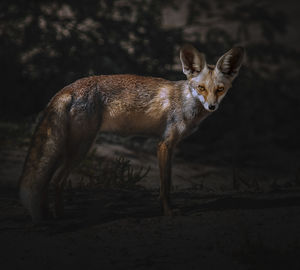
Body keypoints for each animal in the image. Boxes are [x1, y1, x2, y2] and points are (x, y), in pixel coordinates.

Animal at [18, 43, 244, 221]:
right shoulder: (164, 144)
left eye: (220, 89)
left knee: (50, 181)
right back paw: (59, 216)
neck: (185, 101)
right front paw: (168, 213)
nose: (212, 107)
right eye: (201, 88)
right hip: (80, 148)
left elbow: (166, 184)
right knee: (55, 181)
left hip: (69, 148)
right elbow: (165, 185)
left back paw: (53, 215)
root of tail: (68, 87)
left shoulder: (169, 146)